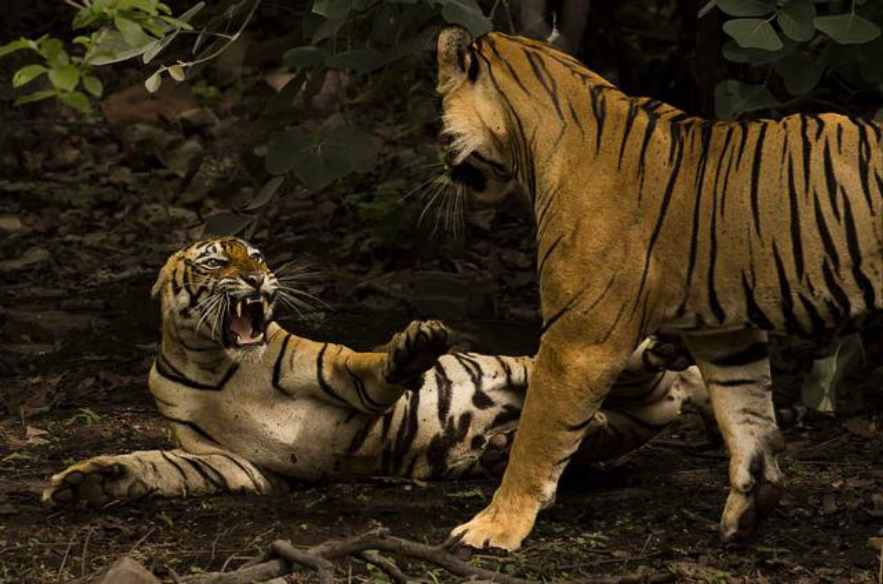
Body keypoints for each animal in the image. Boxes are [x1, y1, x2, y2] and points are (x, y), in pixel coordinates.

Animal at [43, 237, 710, 507]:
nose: (258, 278)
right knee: (606, 423)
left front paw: (418, 343)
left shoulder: (336, 377)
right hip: (619, 419)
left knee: (626, 374)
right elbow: (158, 466)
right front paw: (88, 483)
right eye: (216, 262)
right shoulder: (234, 464)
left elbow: (370, 366)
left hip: (557, 368)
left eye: (255, 255)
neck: (220, 364)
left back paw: (666, 347)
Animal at [435, 27, 883, 550]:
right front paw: (750, 508)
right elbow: (745, 413)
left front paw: (494, 526)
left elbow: (537, 436)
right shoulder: (727, 331)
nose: (442, 168)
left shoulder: (579, 340)